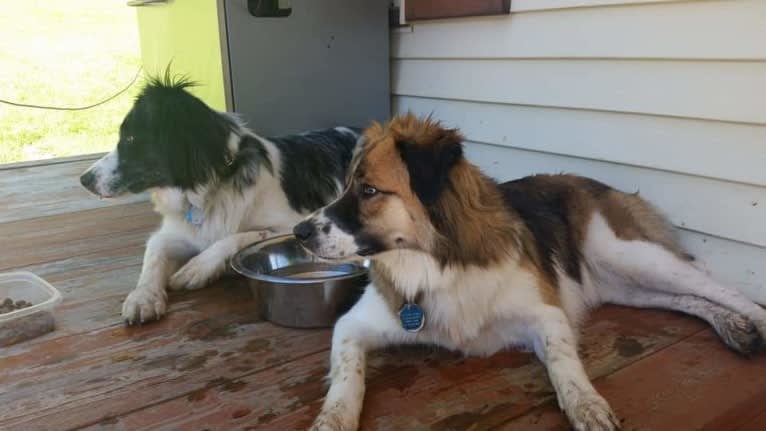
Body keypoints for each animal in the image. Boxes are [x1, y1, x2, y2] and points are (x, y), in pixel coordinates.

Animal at [81, 77, 364, 324]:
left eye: (130, 139)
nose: (84, 180)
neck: (208, 188)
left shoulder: (294, 224)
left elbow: (240, 236)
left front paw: (197, 267)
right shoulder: (171, 233)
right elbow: (153, 255)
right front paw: (143, 297)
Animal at [296, 115, 766, 431]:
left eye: (368, 190)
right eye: (345, 186)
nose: (300, 232)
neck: (437, 264)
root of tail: (596, 182)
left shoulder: (546, 314)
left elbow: (563, 361)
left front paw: (587, 404)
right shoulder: (353, 325)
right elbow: (345, 376)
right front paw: (331, 420)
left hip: (630, 255)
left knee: (715, 285)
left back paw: (750, 320)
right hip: (627, 286)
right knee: (686, 299)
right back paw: (734, 327)